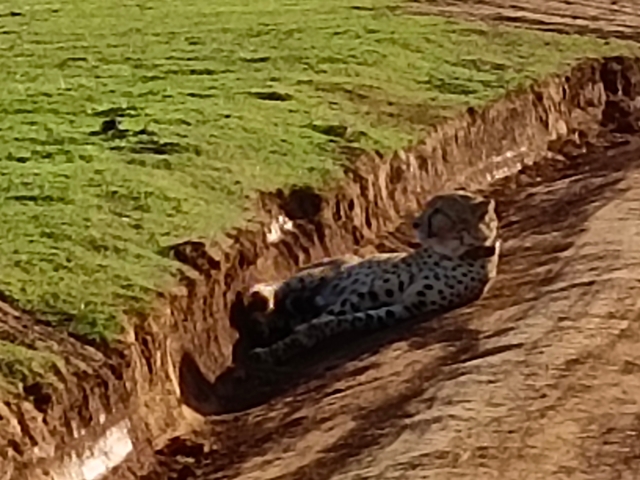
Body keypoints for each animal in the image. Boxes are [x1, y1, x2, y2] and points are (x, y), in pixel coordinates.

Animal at [245, 190, 500, 365]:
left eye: (438, 211)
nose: (415, 223)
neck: (456, 253)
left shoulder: (407, 307)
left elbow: (347, 320)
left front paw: (305, 335)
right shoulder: (369, 291)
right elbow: (333, 314)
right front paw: (282, 346)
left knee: (282, 312)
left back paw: (265, 322)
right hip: (320, 273)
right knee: (279, 286)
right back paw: (260, 298)